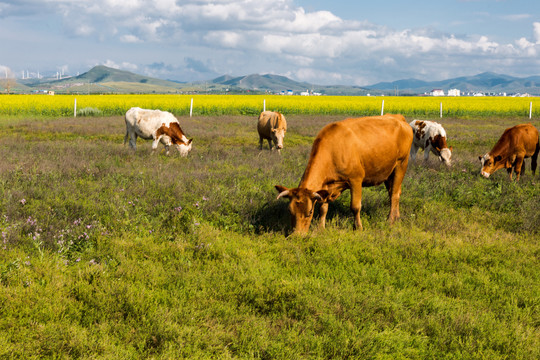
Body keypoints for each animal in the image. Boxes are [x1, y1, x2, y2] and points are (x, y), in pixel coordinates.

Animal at [276, 114, 412, 235]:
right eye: (290, 211)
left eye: (309, 212)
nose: (297, 235)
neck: (332, 151)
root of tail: (398, 118)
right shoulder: (326, 187)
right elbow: (323, 208)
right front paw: (321, 228)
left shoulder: (356, 179)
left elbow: (355, 206)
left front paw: (358, 228)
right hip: (388, 172)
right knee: (393, 192)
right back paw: (397, 217)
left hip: (401, 164)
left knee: (394, 194)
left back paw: (390, 220)